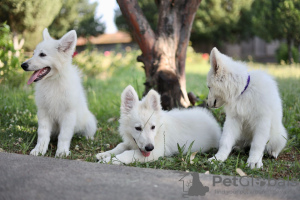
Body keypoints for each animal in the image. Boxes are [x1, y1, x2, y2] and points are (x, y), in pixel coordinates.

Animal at [21, 28, 96, 157]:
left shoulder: (68, 114)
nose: (23, 65)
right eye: (33, 54)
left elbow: (64, 136)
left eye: (42, 54)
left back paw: (87, 138)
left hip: (89, 122)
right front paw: (39, 149)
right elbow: (42, 134)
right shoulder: (43, 112)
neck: (54, 81)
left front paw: (62, 151)